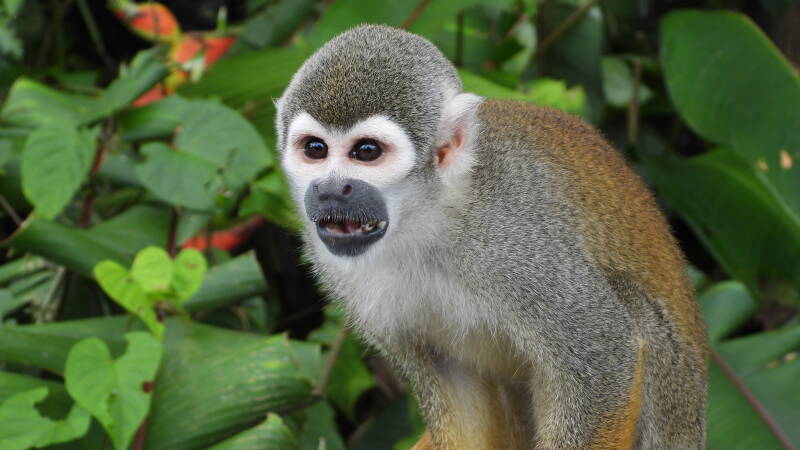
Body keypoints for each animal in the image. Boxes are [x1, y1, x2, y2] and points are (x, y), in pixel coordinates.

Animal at [275, 25, 707, 449]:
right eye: (315, 149)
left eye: (366, 151)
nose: (332, 189)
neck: (427, 221)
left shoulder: (515, 241)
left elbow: (605, 359)